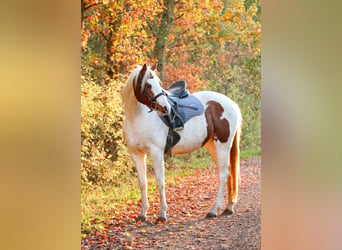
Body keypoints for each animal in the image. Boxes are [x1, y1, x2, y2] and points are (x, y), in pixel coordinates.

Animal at [121, 63, 242, 223]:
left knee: (223, 174)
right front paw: (142, 214)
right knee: (228, 173)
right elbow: (143, 183)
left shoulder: (156, 153)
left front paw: (162, 215)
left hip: (222, 145)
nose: (166, 108)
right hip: (212, 146)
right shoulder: (136, 154)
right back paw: (228, 207)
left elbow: (160, 183)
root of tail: (232, 104)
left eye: (159, 84)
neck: (138, 118)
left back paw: (213, 210)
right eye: (148, 85)